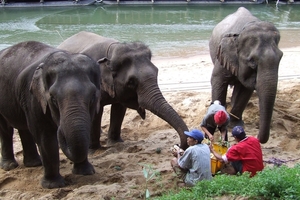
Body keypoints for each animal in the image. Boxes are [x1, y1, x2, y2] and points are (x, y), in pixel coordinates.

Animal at [0, 41, 101, 189]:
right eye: (53, 99)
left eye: (93, 96)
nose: (60, 128)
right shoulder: (33, 97)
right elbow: (45, 137)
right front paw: (53, 185)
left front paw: (86, 173)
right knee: (6, 129)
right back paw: (10, 166)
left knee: (25, 129)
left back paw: (34, 164)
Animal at [57, 30, 189, 150]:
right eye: (131, 82)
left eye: (157, 72)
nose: (178, 145)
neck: (112, 52)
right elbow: (96, 111)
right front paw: (94, 149)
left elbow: (119, 109)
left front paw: (115, 144)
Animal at [210, 6, 282, 144]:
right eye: (252, 61)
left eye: (281, 57)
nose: (257, 136)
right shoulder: (222, 55)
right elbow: (218, 81)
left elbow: (246, 90)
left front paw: (235, 124)